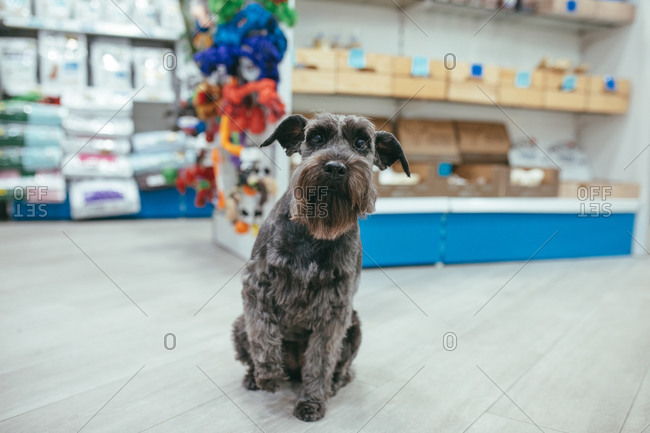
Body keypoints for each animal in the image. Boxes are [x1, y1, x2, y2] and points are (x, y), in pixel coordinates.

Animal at [230, 113, 408, 420]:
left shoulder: (335, 309)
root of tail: (293, 369)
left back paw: (332, 385)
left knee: (341, 369)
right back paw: (256, 377)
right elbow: (263, 333)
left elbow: (321, 359)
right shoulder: (256, 286)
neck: (316, 229)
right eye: (316, 137)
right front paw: (268, 374)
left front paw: (311, 401)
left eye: (361, 142)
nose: (336, 167)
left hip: (355, 328)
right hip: (240, 325)